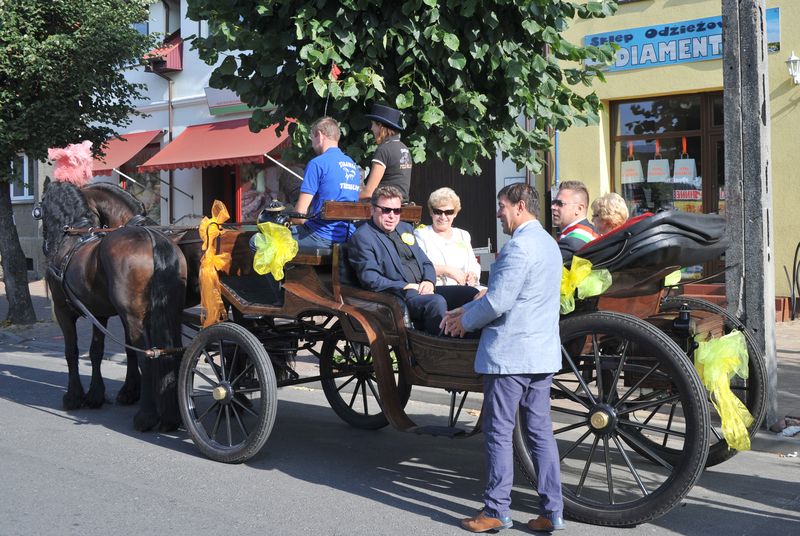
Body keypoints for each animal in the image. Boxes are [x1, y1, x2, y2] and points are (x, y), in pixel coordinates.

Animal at [41, 180, 187, 432]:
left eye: (39, 209)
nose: (45, 244)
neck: (71, 241)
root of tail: (152, 238)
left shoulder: (62, 310)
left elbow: (72, 351)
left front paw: (74, 396)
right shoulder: (100, 313)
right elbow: (96, 351)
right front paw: (97, 395)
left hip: (134, 317)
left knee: (147, 357)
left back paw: (145, 417)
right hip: (170, 312)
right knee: (171, 354)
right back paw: (171, 417)